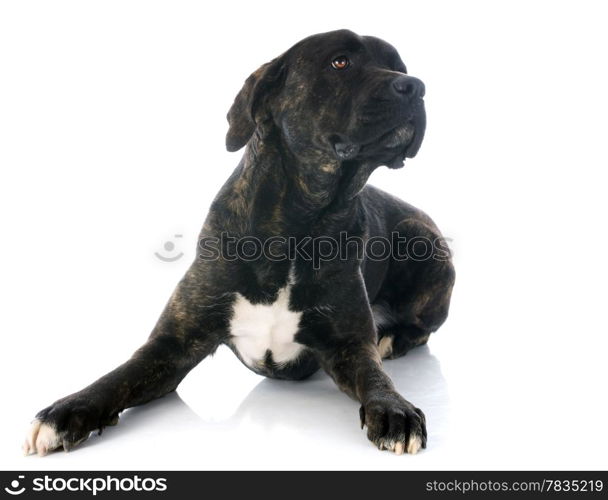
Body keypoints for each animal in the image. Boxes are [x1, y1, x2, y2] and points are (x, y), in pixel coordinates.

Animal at [23, 29, 454, 456]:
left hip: (426, 244)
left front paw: (394, 410)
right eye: (340, 62)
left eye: (400, 67)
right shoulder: (172, 344)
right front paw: (68, 411)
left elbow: (374, 377)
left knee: (422, 328)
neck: (296, 231)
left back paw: (392, 338)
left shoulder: (350, 344)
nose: (415, 87)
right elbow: (118, 375)